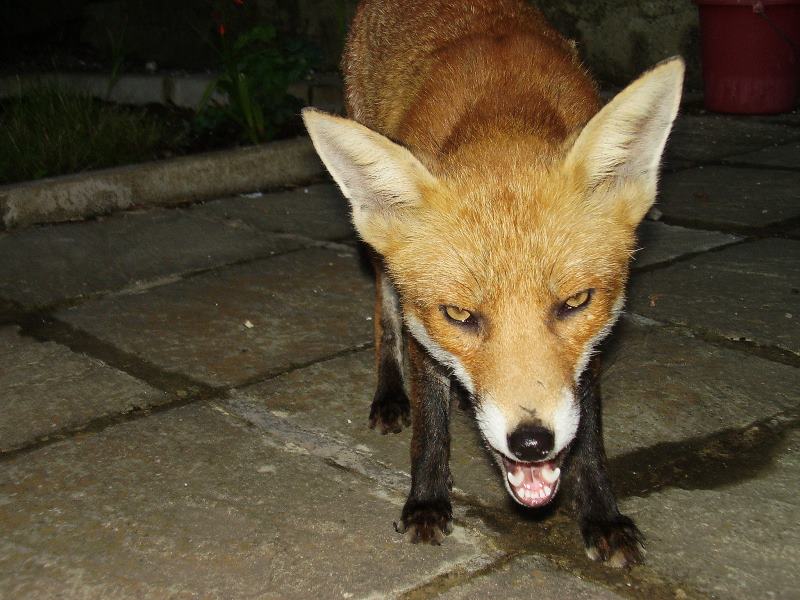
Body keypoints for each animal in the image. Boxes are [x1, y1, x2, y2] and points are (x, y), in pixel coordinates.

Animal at [300, 0, 680, 568]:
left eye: (576, 301)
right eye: (459, 315)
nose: (532, 444)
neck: (503, 114)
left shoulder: (592, 340)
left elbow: (589, 427)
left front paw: (601, 514)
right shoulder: (423, 327)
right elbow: (430, 425)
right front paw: (427, 502)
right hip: (379, 254)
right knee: (383, 315)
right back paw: (390, 395)